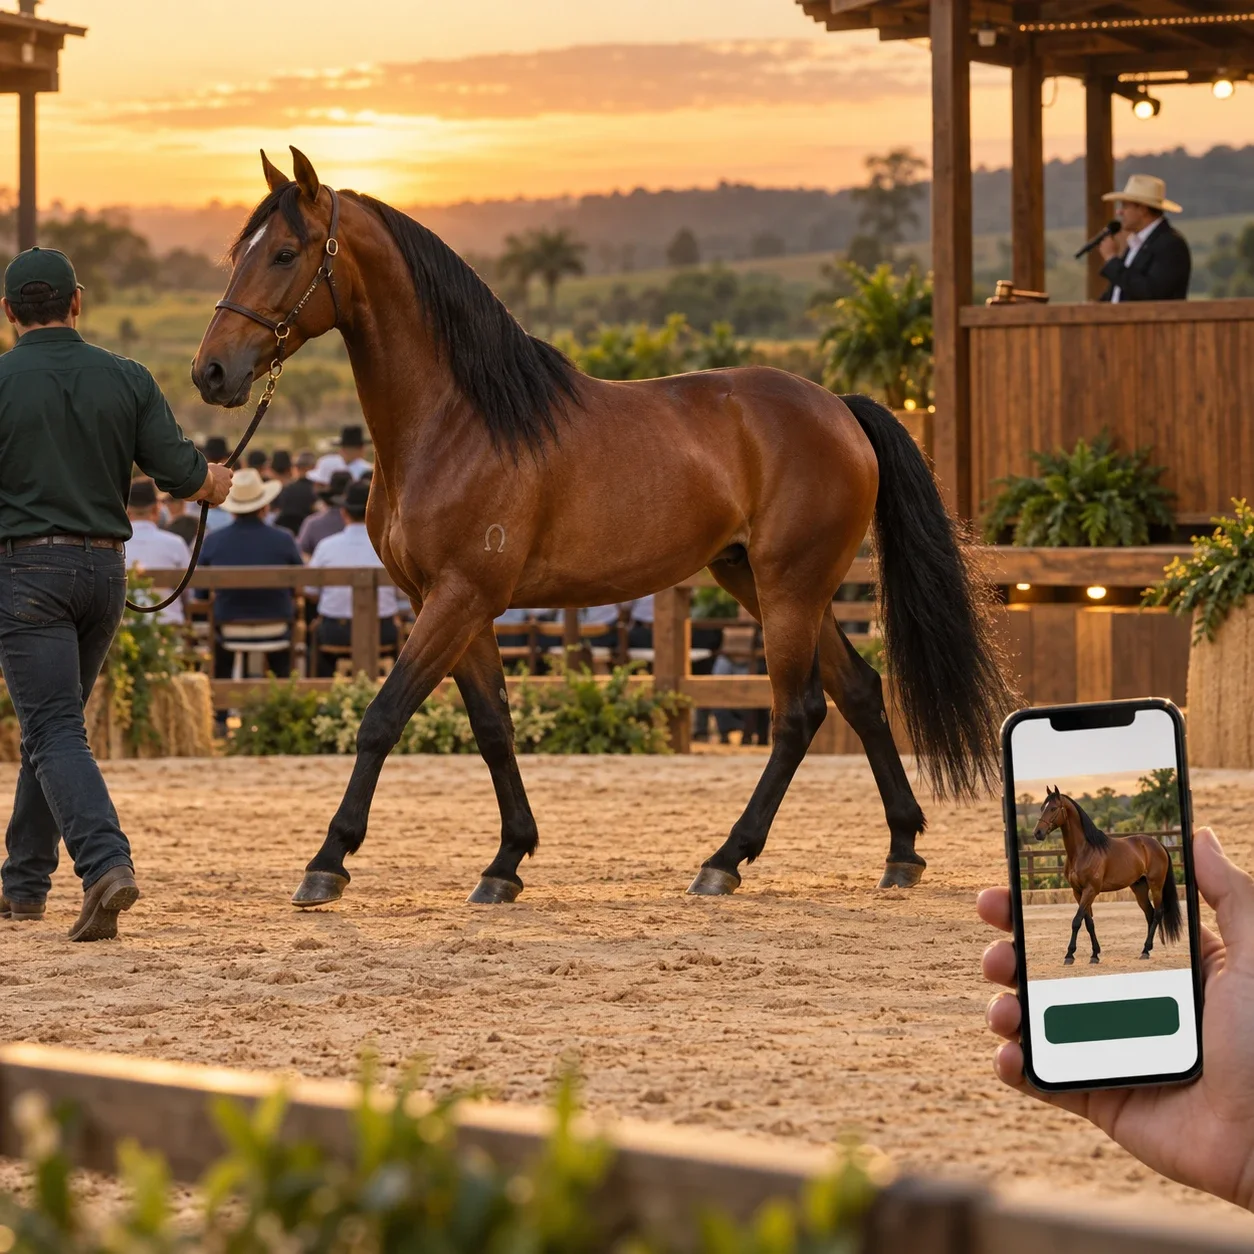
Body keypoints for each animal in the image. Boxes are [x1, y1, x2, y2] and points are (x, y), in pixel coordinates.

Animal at [190, 147, 1014, 909]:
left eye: (286, 253)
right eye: (239, 253)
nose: (212, 373)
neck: (458, 421)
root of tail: (840, 407)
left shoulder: (457, 598)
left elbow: (382, 716)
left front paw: (328, 860)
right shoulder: (457, 606)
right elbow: (494, 727)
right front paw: (506, 862)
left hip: (790, 588)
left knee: (797, 713)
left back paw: (724, 860)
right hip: (760, 581)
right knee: (861, 692)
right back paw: (901, 849)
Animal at [1032, 785, 1182, 965]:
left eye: (1053, 808)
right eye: (1042, 808)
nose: (1037, 833)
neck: (1083, 851)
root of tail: (1158, 844)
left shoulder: (1090, 890)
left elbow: (1076, 921)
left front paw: (1069, 955)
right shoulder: (1078, 892)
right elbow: (1088, 922)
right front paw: (1094, 954)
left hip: (1156, 885)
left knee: (1158, 913)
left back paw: (1146, 950)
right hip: (1139, 888)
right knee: (1150, 913)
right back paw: (1146, 949)